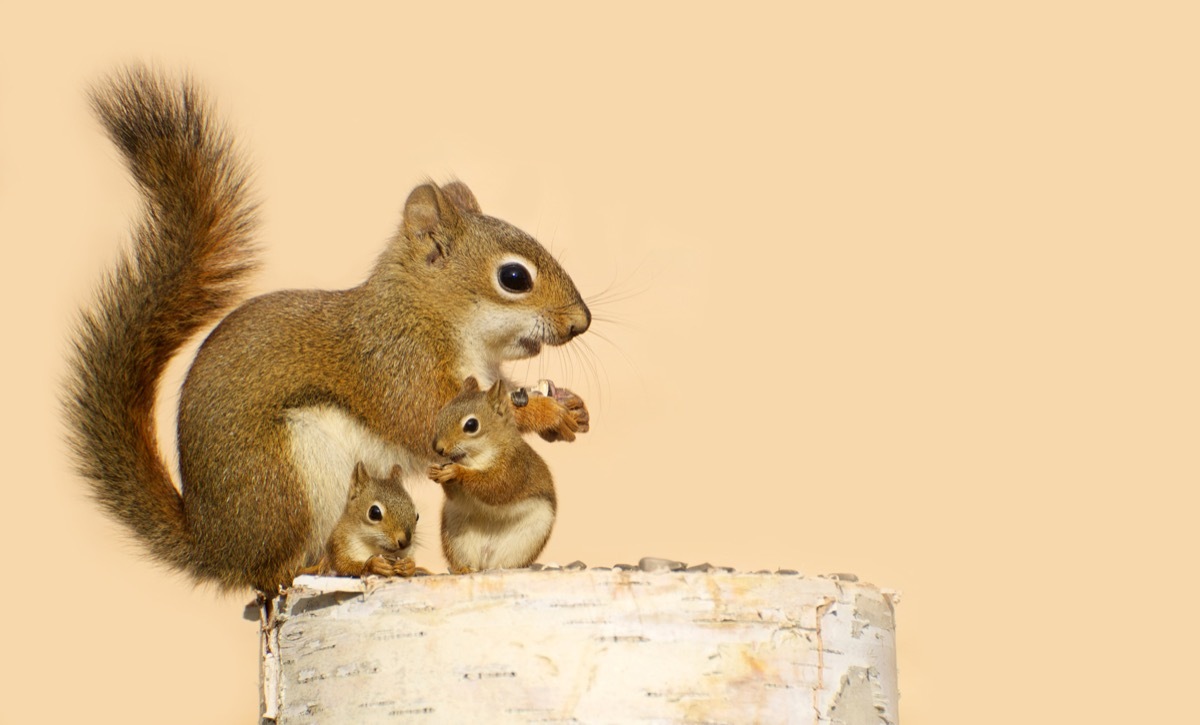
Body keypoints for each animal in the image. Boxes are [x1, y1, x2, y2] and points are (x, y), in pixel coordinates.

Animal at [428, 377, 556, 573]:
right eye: (441, 413)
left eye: (471, 425)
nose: (438, 448)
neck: (477, 458)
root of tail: (485, 562)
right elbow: (455, 496)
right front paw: (435, 472)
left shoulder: (514, 467)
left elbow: (494, 488)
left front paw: (457, 472)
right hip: (457, 535)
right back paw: (464, 569)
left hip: (528, 537)